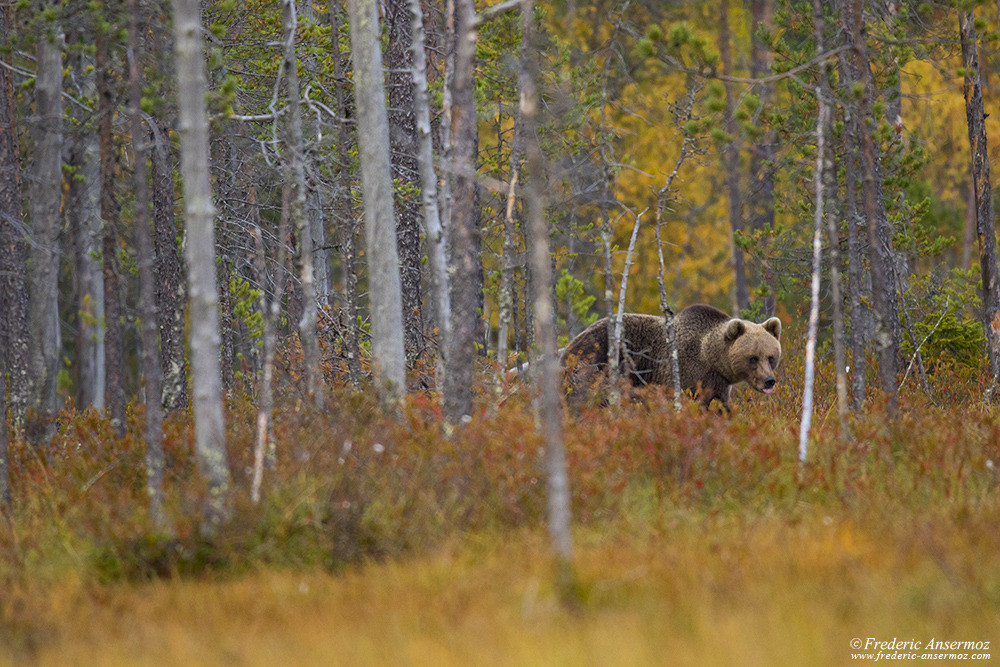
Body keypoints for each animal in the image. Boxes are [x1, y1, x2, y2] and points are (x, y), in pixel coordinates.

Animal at [564, 304, 780, 412]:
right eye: (753, 358)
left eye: (771, 357)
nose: (769, 380)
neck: (711, 359)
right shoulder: (685, 374)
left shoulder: (719, 384)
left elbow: (722, 407)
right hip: (595, 365)